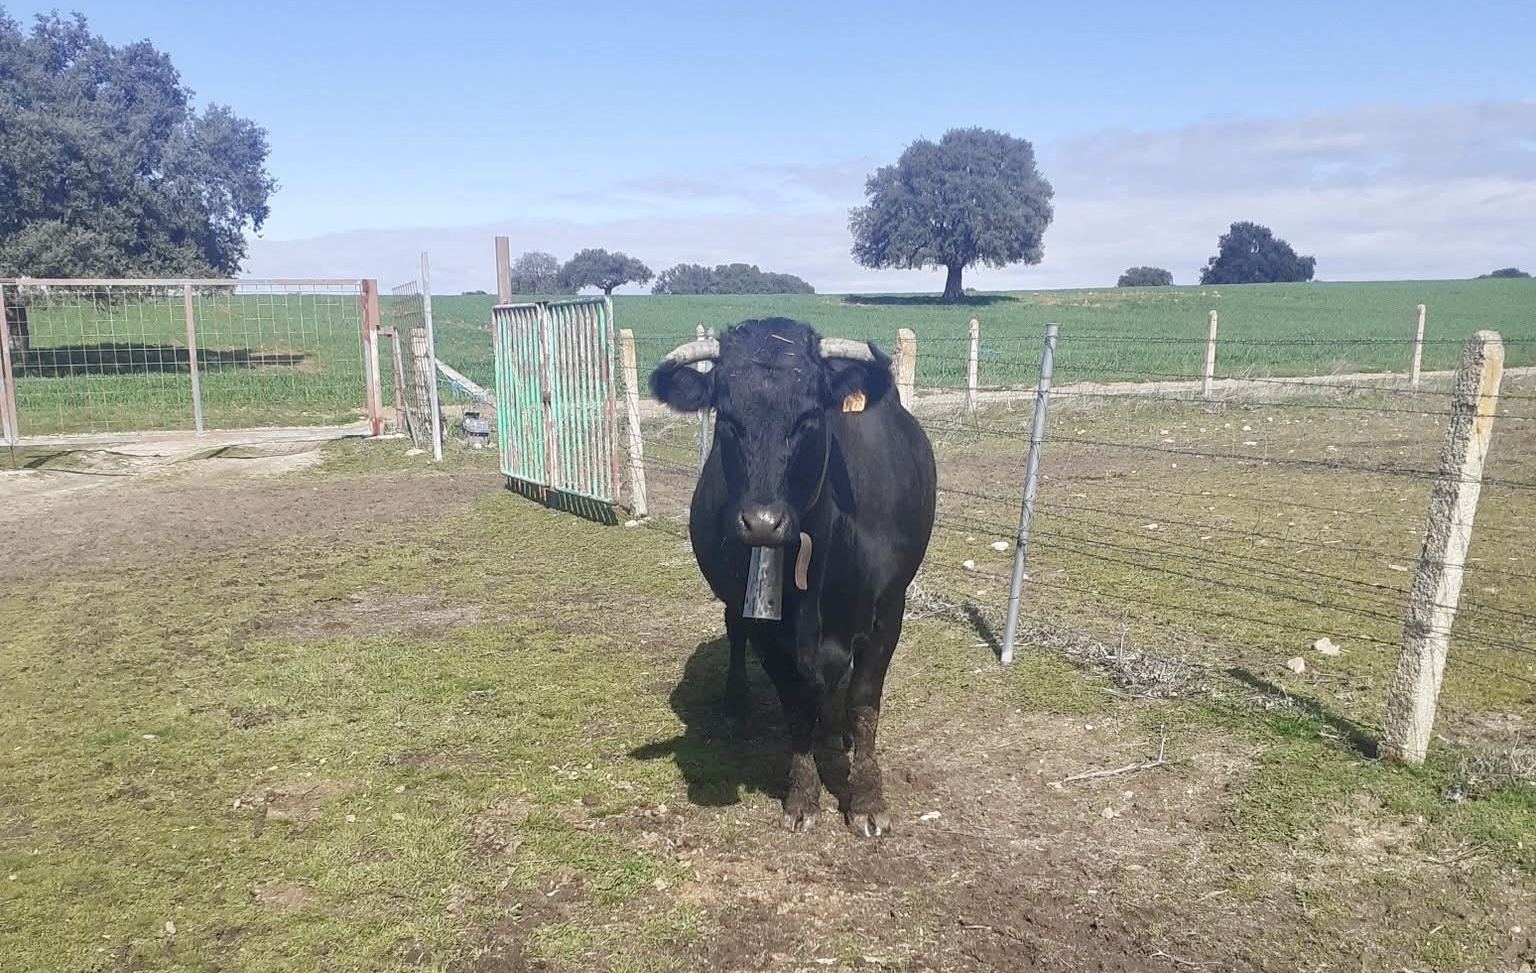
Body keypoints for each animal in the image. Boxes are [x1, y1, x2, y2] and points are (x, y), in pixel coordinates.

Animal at [648, 317, 937, 837]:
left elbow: (864, 704)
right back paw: (737, 700)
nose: (763, 523)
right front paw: (803, 797)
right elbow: (794, 705)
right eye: (727, 418)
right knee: (734, 631)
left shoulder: (889, 613)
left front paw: (867, 798)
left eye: (809, 418)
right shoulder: (769, 631)